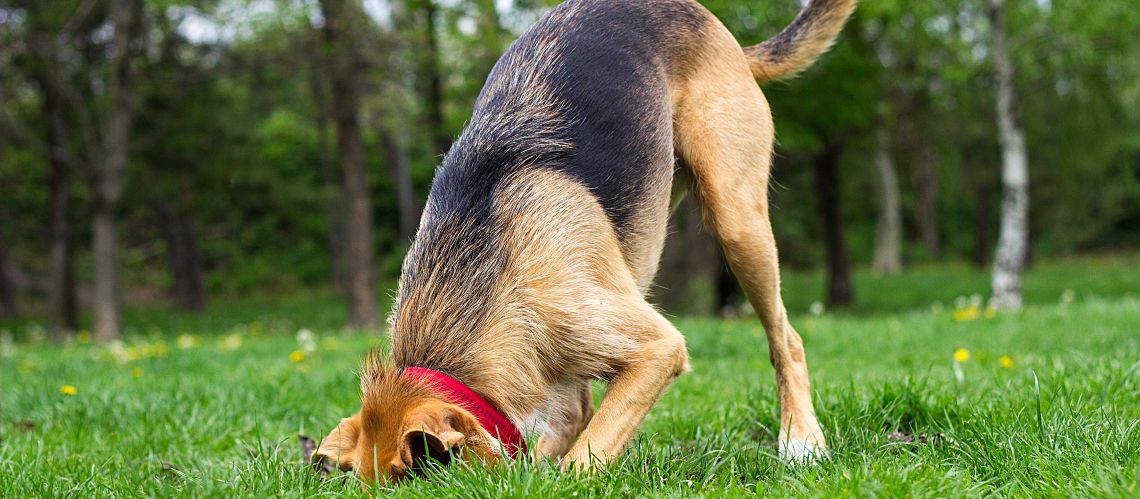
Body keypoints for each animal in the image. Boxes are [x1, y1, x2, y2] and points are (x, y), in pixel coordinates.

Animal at [312, 0, 857, 485]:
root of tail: (725, 37)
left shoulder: (654, 347)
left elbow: (583, 456)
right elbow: (572, 426)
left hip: (737, 220)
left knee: (787, 339)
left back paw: (801, 440)